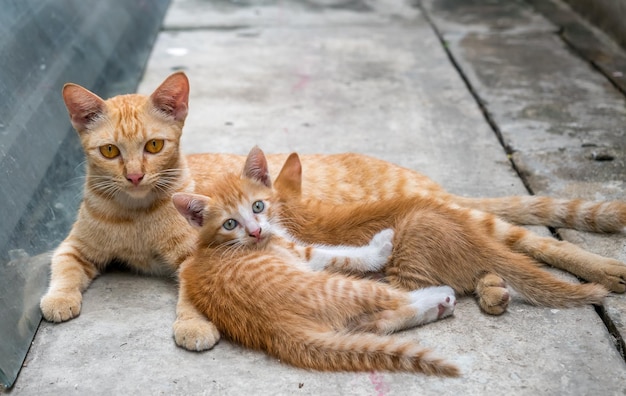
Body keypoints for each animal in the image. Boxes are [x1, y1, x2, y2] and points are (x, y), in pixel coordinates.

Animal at [41, 71, 624, 350]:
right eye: (110, 152)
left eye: (155, 147)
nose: (136, 176)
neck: (135, 213)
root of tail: (423, 180)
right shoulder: (75, 246)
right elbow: (63, 267)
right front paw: (59, 298)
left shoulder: (197, 255)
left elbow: (190, 290)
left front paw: (192, 324)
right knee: (490, 258)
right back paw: (492, 289)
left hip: (456, 217)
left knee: (531, 242)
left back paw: (604, 271)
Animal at [173, 147, 456, 376]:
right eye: (230, 224)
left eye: (257, 206)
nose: (255, 232)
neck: (216, 244)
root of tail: (277, 331)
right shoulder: (299, 253)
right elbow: (338, 254)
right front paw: (378, 249)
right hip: (340, 286)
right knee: (393, 298)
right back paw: (437, 297)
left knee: (375, 323)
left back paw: (436, 307)